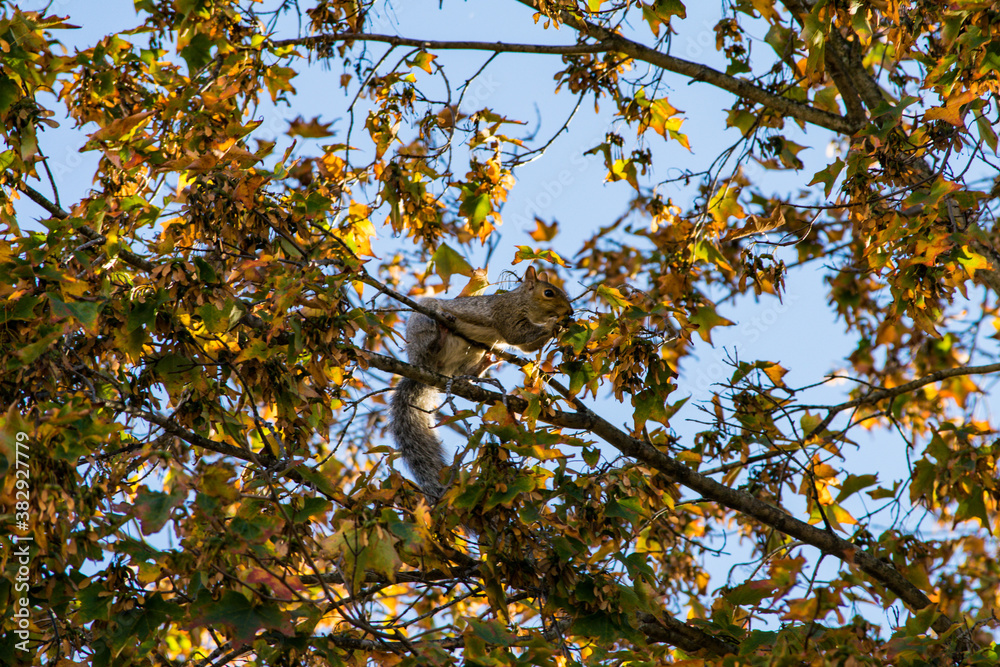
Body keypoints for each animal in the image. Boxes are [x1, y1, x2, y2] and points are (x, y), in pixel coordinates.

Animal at [390, 266, 574, 501]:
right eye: (548, 293)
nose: (569, 312)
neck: (521, 301)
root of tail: (427, 368)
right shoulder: (506, 314)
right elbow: (517, 336)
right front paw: (554, 323)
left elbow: (527, 347)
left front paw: (560, 328)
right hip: (423, 326)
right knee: (430, 344)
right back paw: (440, 335)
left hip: (469, 356)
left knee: (465, 372)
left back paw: (483, 364)